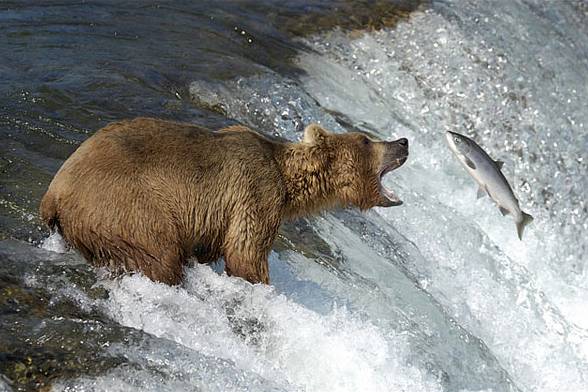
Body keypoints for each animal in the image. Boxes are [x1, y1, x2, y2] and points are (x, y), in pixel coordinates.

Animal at [40, 117, 408, 284]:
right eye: (365, 140)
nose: (403, 141)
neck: (288, 181)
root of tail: (53, 193)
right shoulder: (254, 192)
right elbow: (246, 254)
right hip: (125, 205)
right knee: (159, 255)